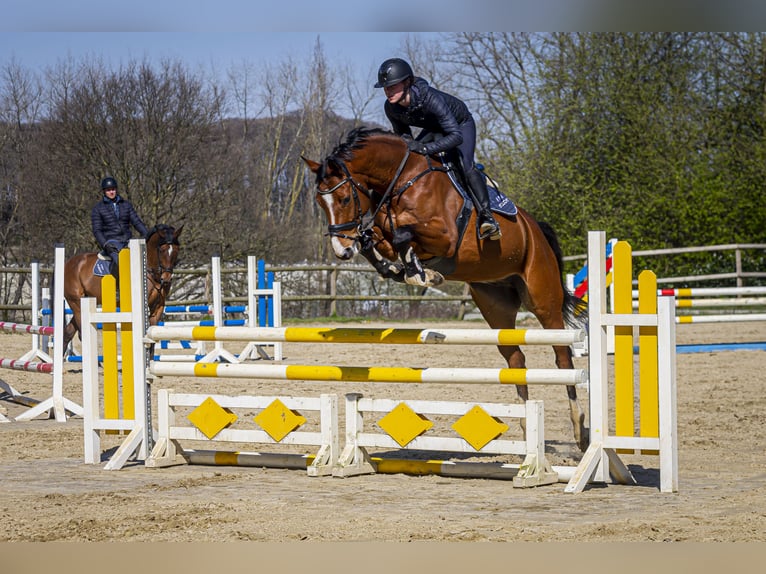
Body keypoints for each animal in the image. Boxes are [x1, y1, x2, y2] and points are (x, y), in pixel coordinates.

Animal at [61, 225, 183, 356]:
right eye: (162, 250)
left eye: (176, 250)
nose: (166, 279)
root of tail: (68, 263)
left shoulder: (158, 306)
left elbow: (152, 337)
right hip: (76, 302)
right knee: (81, 333)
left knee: (68, 332)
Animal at [304, 129, 592, 454]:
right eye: (320, 202)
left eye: (342, 198)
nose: (341, 250)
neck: (403, 179)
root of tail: (536, 229)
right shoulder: (385, 229)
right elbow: (378, 238)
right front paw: (400, 268)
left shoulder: (443, 235)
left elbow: (401, 234)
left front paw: (421, 273)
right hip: (494, 304)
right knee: (515, 358)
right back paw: (525, 426)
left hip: (543, 298)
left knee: (562, 357)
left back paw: (580, 429)